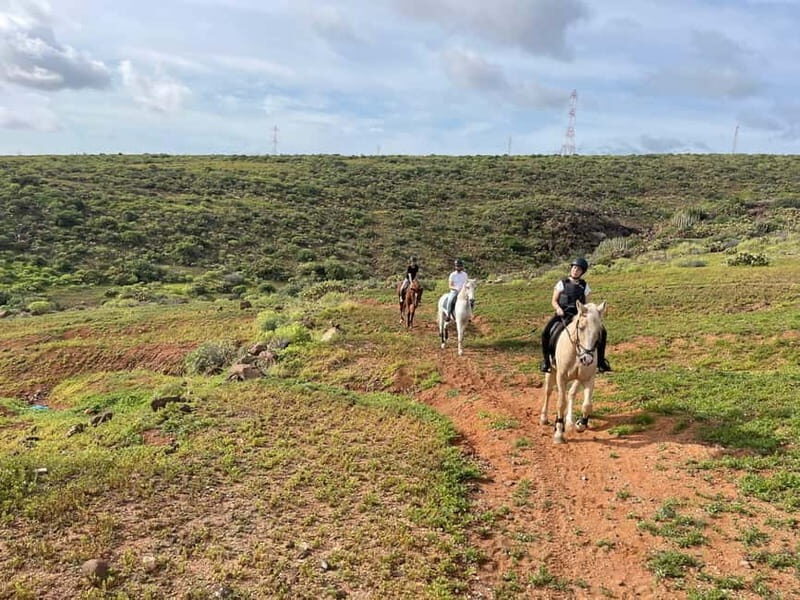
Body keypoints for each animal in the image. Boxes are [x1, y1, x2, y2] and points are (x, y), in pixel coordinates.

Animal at [539, 300, 607, 444]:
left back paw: (569, 420)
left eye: (599, 331)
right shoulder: (561, 377)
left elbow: (587, 405)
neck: (576, 352)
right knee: (548, 392)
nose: (587, 359)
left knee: (571, 393)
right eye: (581, 328)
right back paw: (544, 418)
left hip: (578, 378)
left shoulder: (588, 378)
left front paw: (581, 424)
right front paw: (559, 432)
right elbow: (561, 403)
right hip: (551, 371)